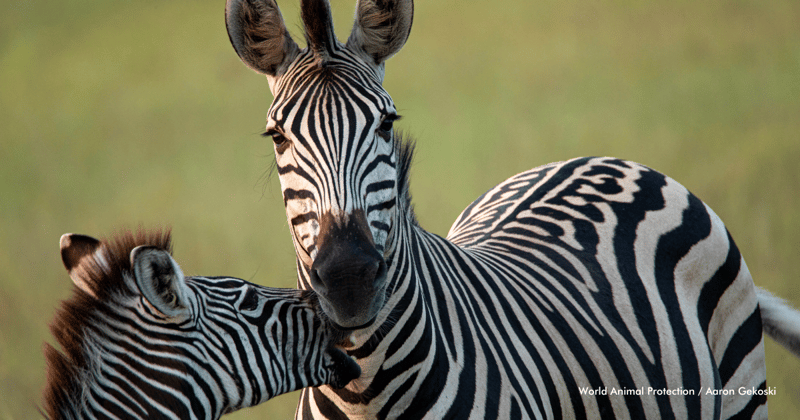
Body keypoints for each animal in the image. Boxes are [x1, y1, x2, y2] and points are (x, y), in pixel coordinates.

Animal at [223, 0, 800, 418]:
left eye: (386, 123)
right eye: (277, 137)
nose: (349, 279)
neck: (365, 389)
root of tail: (600, 159)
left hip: (741, 392)